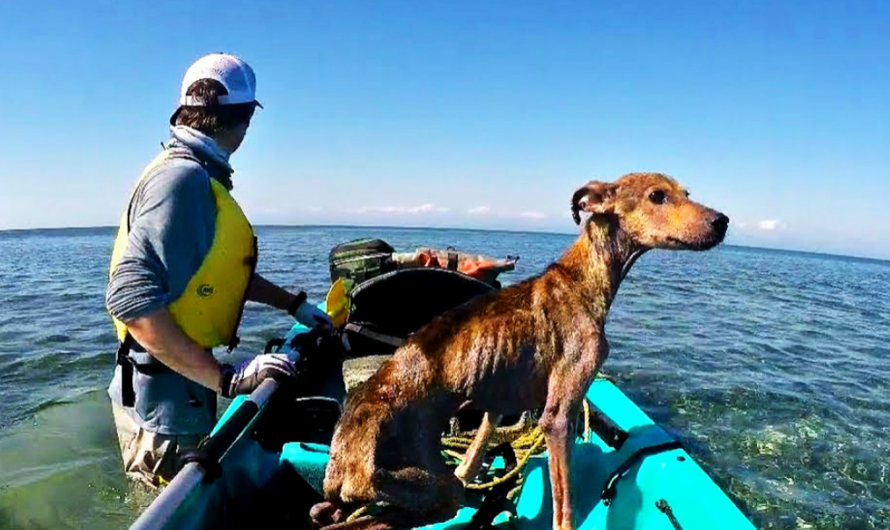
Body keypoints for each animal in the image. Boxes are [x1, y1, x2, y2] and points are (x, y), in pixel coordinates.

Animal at [308, 172, 724, 528]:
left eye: (686, 192)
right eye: (657, 195)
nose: (723, 221)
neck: (581, 278)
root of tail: (341, 459)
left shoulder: (498, 402)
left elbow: (482, 442)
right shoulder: (558, 417)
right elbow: (564, 510)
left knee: (328, 512)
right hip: (433, 489)